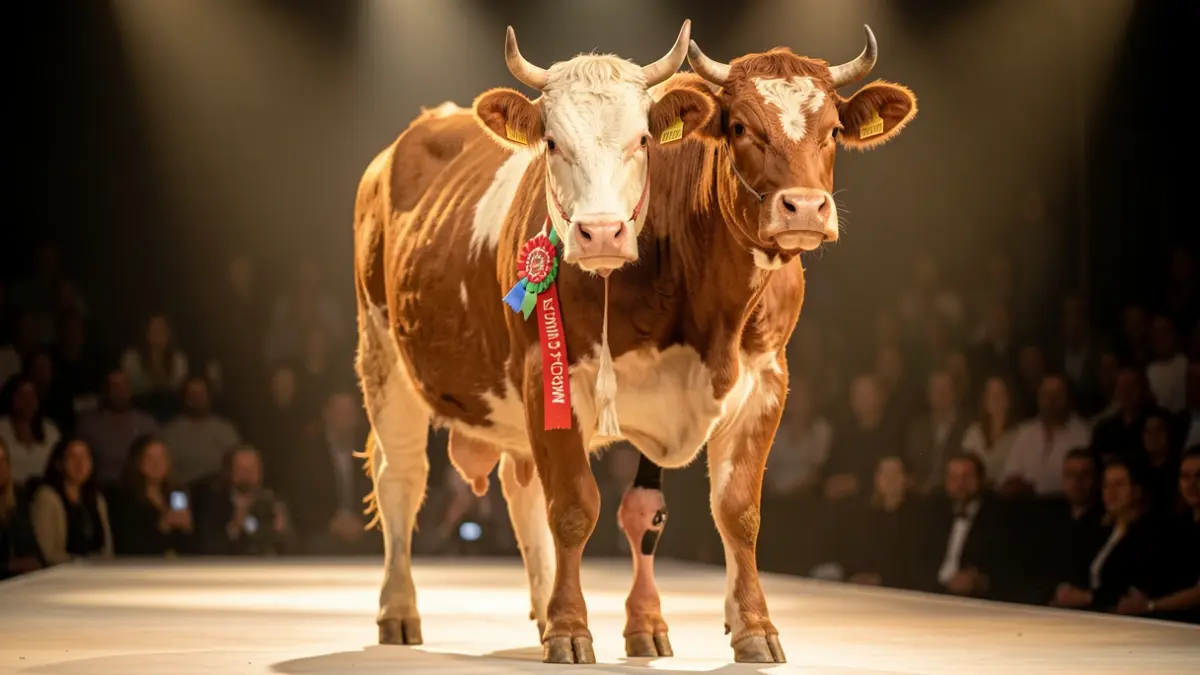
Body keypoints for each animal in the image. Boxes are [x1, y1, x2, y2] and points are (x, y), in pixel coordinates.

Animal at [352, 19, 715, 662]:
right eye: (551, 144)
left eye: (643, 140)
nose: (601, 231)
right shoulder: (541, 372)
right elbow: (569, 504)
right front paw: (572, 631)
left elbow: (626, 508)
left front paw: (621, 624)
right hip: (382, 354)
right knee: (401, 477)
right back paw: (398, 611)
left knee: (520, 493)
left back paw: (545, 609)